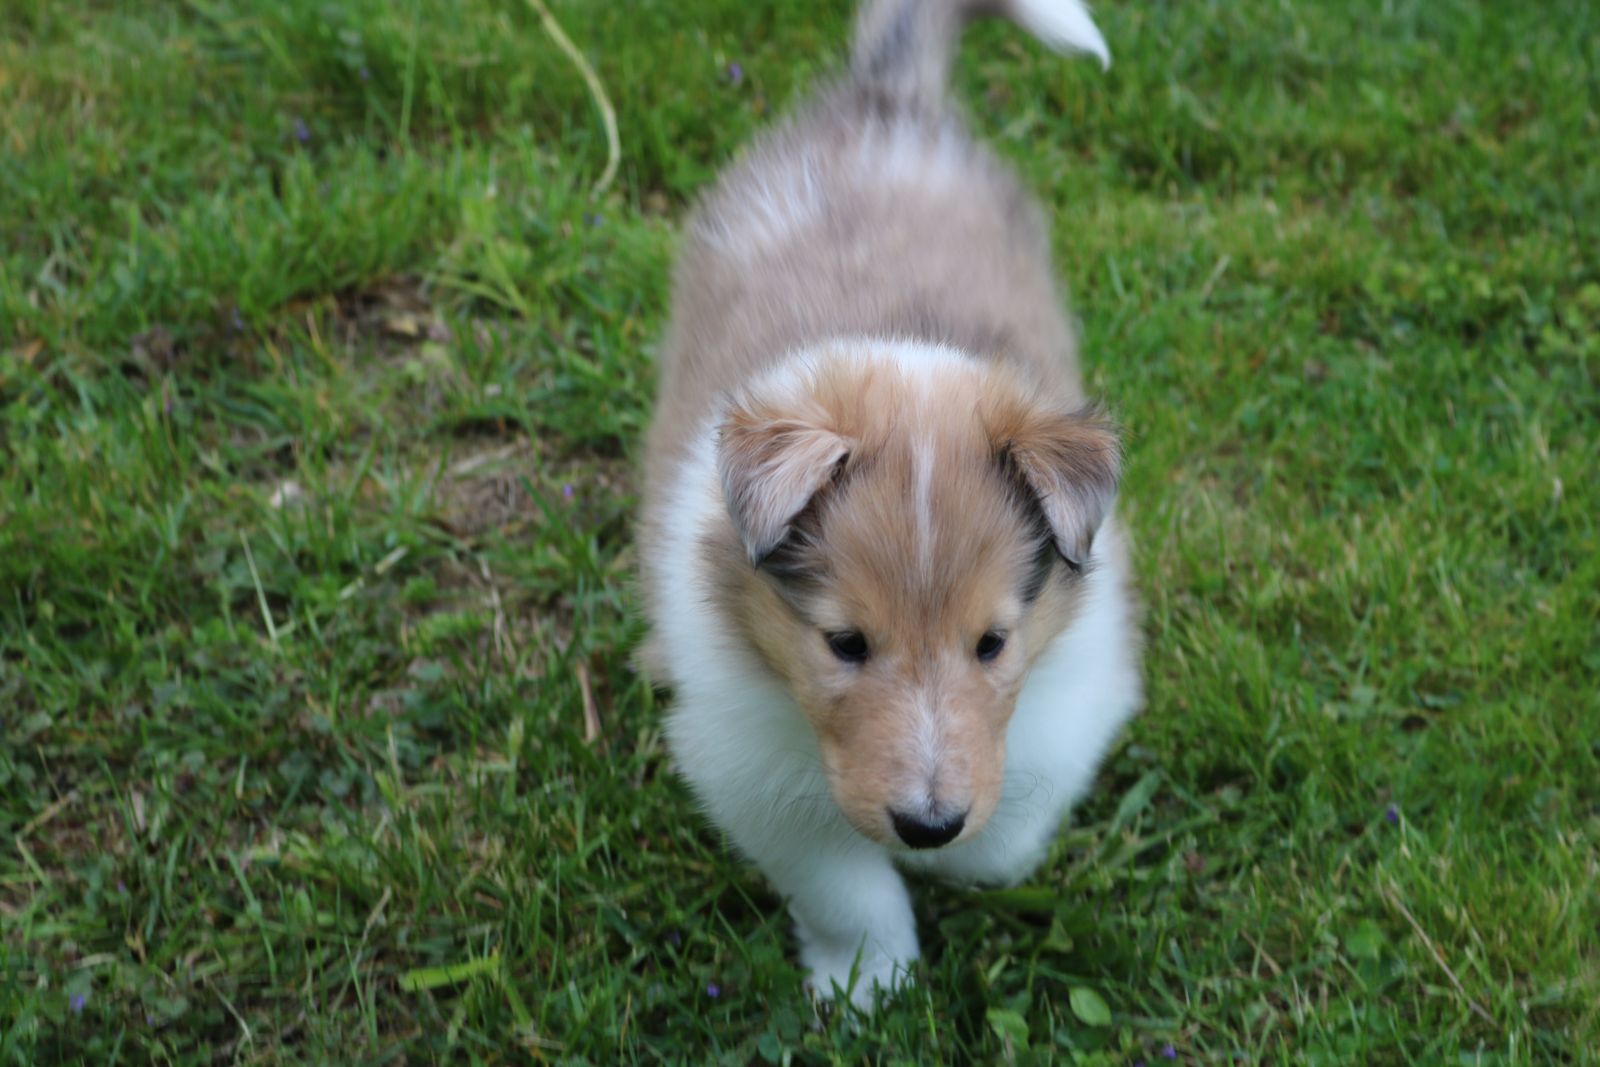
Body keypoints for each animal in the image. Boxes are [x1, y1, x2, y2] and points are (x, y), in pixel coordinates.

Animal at [638, 0, 1140, 1009]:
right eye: (845, 643)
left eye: (992, 643)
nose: (927, 820)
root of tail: (885, 103)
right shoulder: (750, 760)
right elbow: (845, 887)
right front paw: (867, 989)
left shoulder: (1071, 696)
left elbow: (1002, 839)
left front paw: (953, 860)